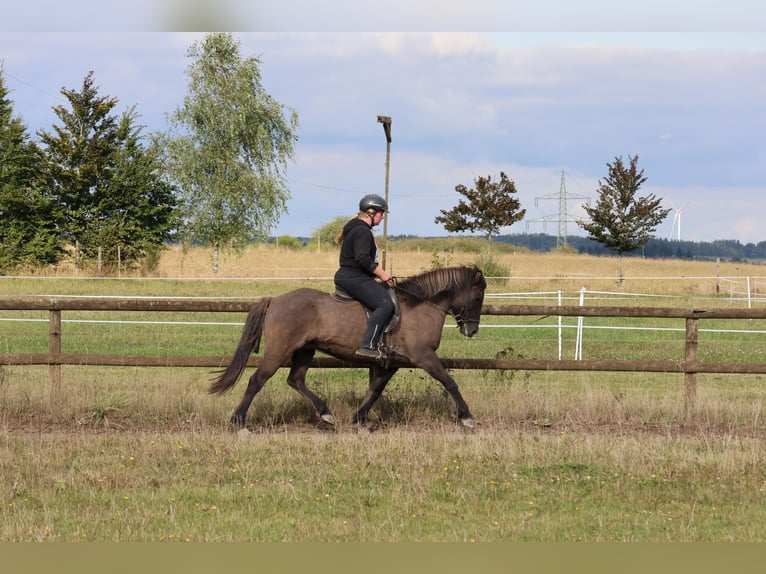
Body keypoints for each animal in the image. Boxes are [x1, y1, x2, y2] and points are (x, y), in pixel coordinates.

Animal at [210, 266, 486, 432]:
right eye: (478, 296)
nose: (471, 330)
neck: (420, 306)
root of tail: (275, 300)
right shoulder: (424, 356)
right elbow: (450, 382)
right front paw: (467, 417)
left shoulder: (391, 362)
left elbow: (375, 390)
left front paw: (359, 419)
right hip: (279, 351)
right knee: (257, 381)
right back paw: (240, 423)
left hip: (305, 350)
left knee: (296, 380)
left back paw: (325, 414)